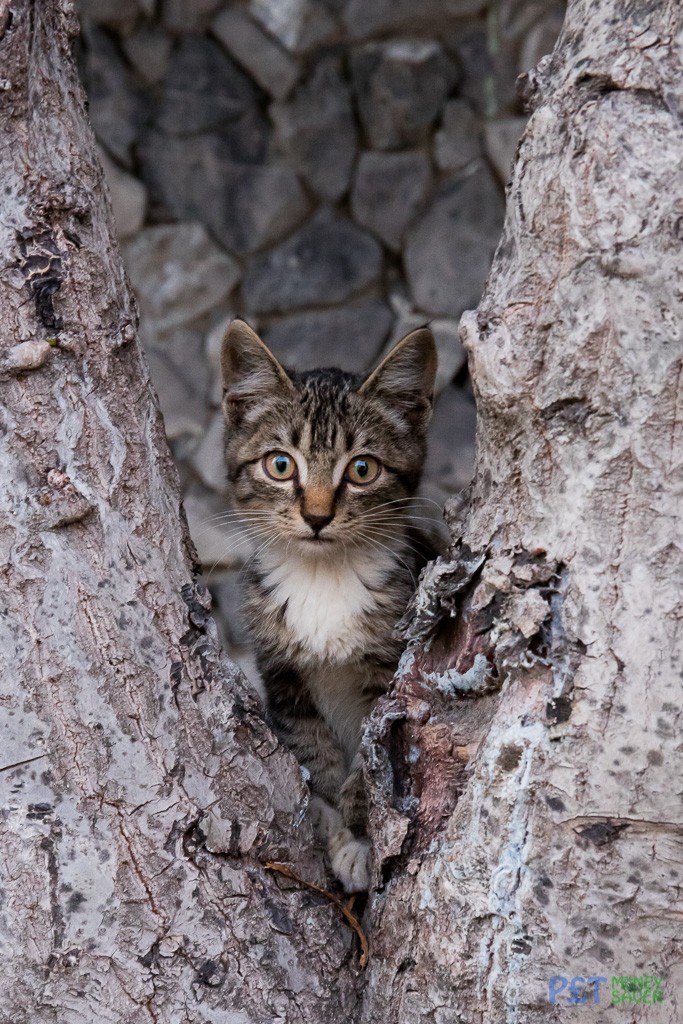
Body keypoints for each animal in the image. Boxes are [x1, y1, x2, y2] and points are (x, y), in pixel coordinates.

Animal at [223, 319, 438, 888]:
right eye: (280, 465)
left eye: (362, 469)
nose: (317, 516)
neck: (324, 576)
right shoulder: (282, 673)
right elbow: (312, 751)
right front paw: (326, 817)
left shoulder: (389, 675)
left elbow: (372, 757)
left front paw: (361, 837)